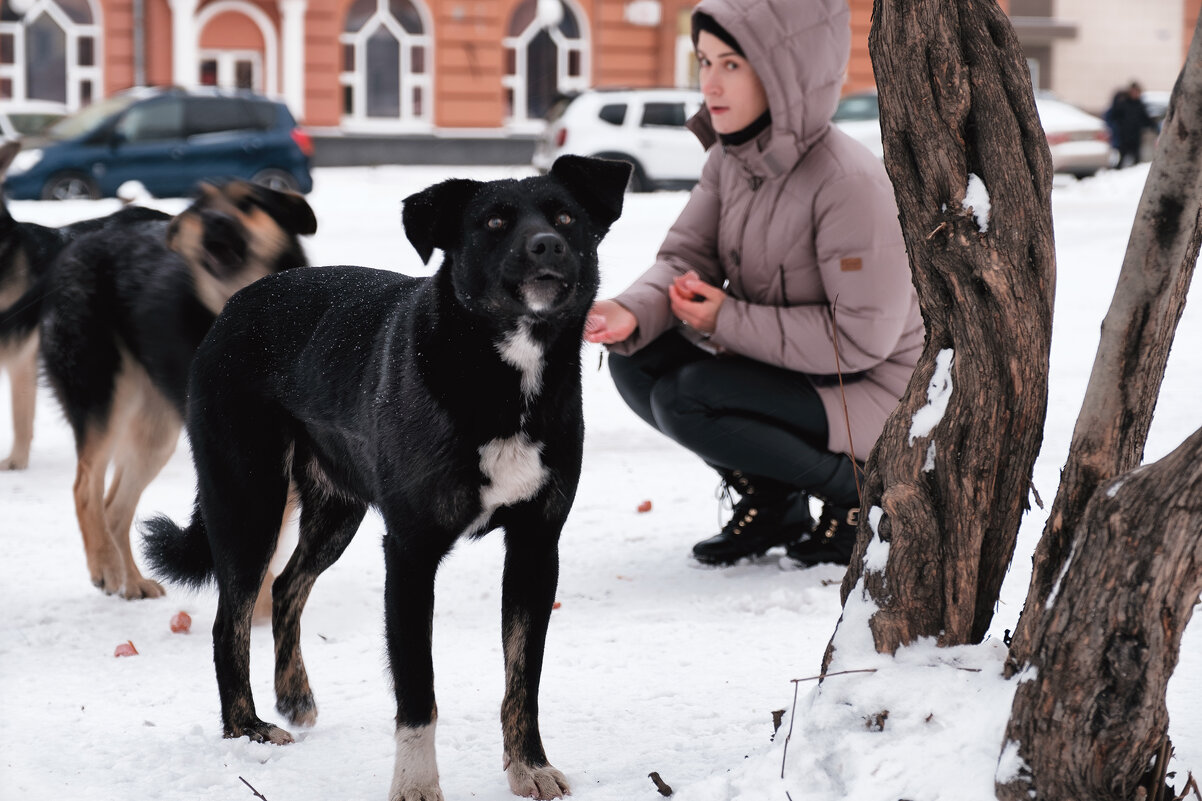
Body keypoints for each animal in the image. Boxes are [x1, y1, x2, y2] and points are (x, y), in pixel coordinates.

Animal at [40, 178, 317, 596]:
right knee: (86, 486)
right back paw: (106, 565)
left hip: (156, 432)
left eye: (249, 202)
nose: (216, 220)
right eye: (200, 205)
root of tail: (85, 237)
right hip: (104, 398)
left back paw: (133, 581)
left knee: (115, 507)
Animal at [139, 156, 629, 798]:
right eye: (494, 222)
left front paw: (528, 766)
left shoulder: (534, 548)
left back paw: (294, 695)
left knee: (287, 586)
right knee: (231, 622)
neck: (499, 375)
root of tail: (233, 308)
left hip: (335, 511)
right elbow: (418, 689)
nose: (546, 244)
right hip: (249, 500)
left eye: (566, 217)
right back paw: (247, 729)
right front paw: (416, 784)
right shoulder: (411, 552)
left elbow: (523, 679)